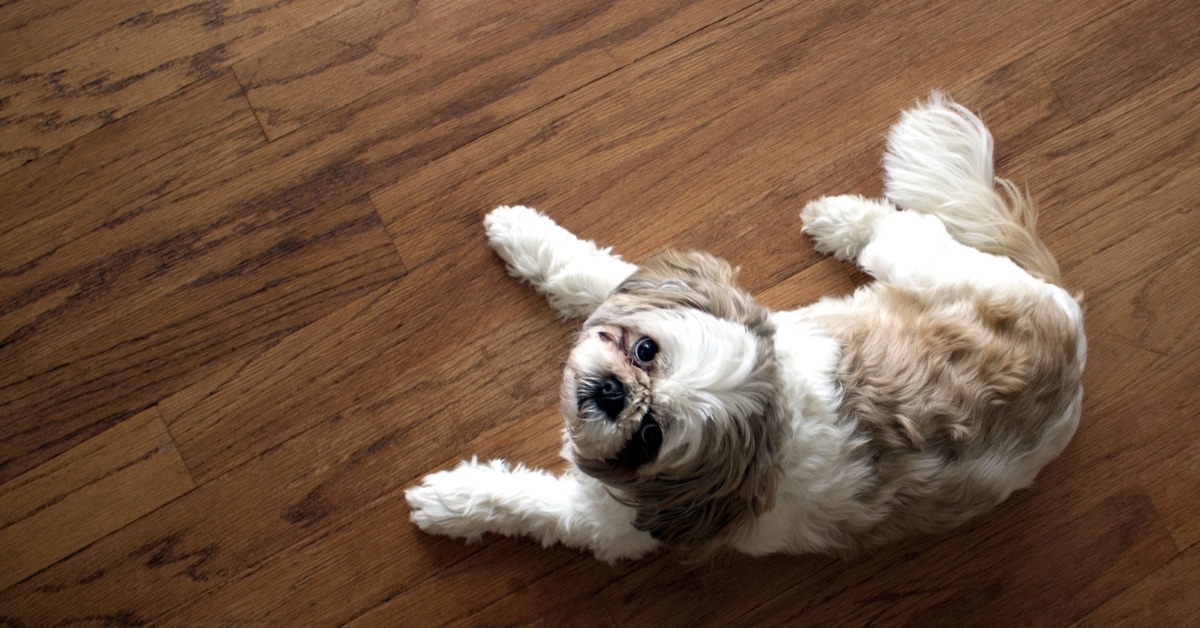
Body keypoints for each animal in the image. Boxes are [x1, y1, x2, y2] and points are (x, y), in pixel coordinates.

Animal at [403, 94, 1089, 564]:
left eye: (651, 436)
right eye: (644, 349)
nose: (614, 393)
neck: (764, 431)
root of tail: (1067, 317)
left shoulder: (610, 522)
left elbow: (530, 504)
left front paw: (449, 503)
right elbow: (589, 273)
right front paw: (520, 233)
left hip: (921, 260)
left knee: (906, 226)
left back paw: (842, 219)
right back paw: (838, 219)